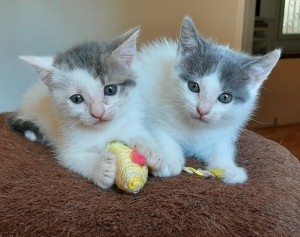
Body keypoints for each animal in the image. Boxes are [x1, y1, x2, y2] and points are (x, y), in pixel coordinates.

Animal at [8, 28, 164, 189]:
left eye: (110, 90)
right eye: (76, 99)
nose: (98, 113)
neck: (103, 130)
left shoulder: (130, 122)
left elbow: (141, 134)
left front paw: (149, 151)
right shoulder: (68, 147)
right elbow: (75, 159)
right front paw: (101, 167)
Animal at [136, 17, 282, 183]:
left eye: (225, 97)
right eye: (193, 86)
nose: (202, 110)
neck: (195, 129)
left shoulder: (223, 133)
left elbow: (222, 148)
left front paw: (228, 168)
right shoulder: (154, 115)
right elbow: (161, 135)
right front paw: (168, 160)